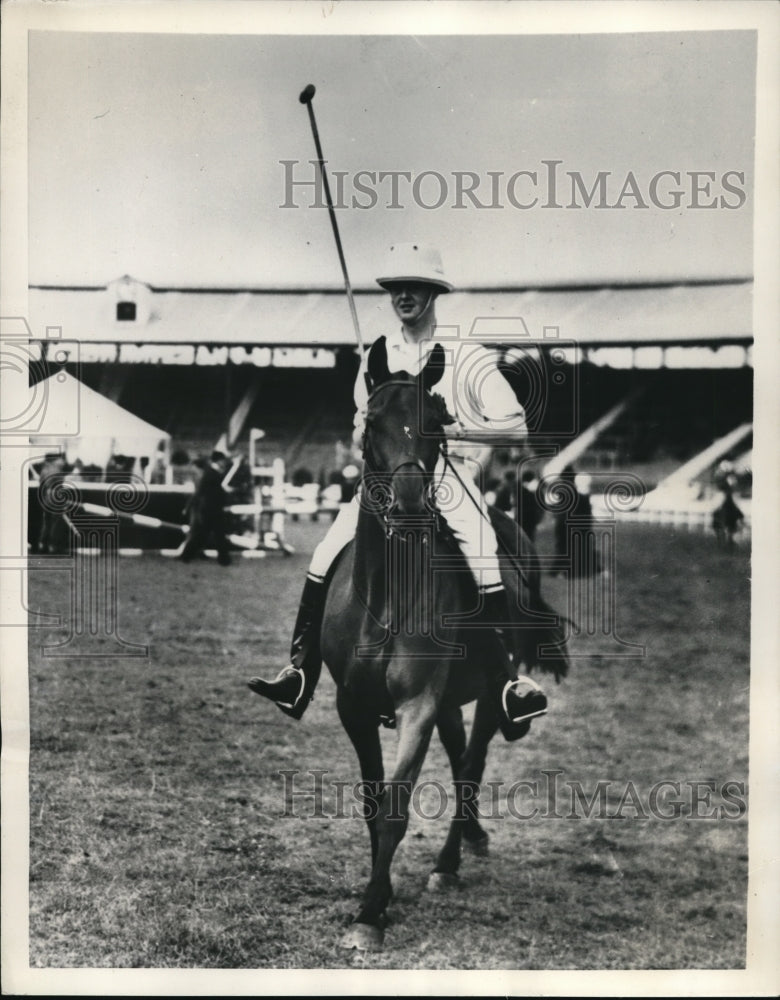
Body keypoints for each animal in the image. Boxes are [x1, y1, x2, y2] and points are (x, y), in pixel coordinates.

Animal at [316, 354, 568, 952]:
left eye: (435, 421)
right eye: (371, 421)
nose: (408, 506)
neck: (388, 594)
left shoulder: (418, 707)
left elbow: (394, 807)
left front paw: (370, 913)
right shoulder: (353, 707)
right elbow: (371, 802)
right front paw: (380, 892)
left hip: (489, 691)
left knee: (471, 763)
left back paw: (449, 862)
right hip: (454, 698)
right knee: (458, 761)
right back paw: (468, 838)